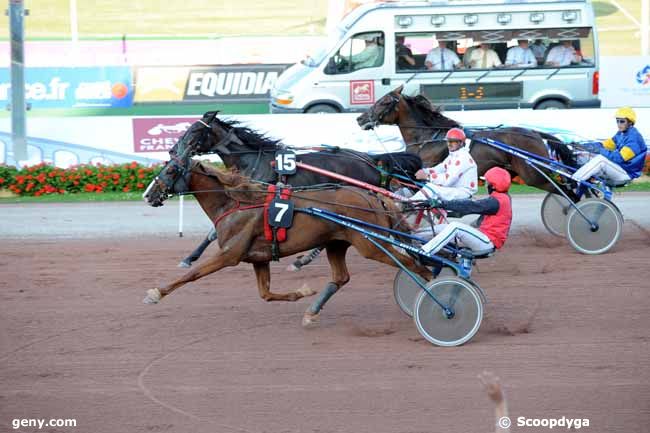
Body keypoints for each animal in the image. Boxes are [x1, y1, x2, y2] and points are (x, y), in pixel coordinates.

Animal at [139, 148, 428, 324]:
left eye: (171, 170)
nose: (148, 194)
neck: (235, 202)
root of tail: (372, 196)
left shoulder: (229, 255)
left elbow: (192, 274)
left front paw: (155, 293)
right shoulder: (259, 258)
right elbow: (265, 294)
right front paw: (301, 292)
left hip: (372, 243)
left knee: (414, 265)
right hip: (337, 242)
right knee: (340, 277)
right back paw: (311, 312)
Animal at [354, 84, 576, 197]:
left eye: (384, 102)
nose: (360, 119)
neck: (428, 138)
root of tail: (535, 133)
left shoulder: (426, 171)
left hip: (534, 176)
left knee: (568, 193)